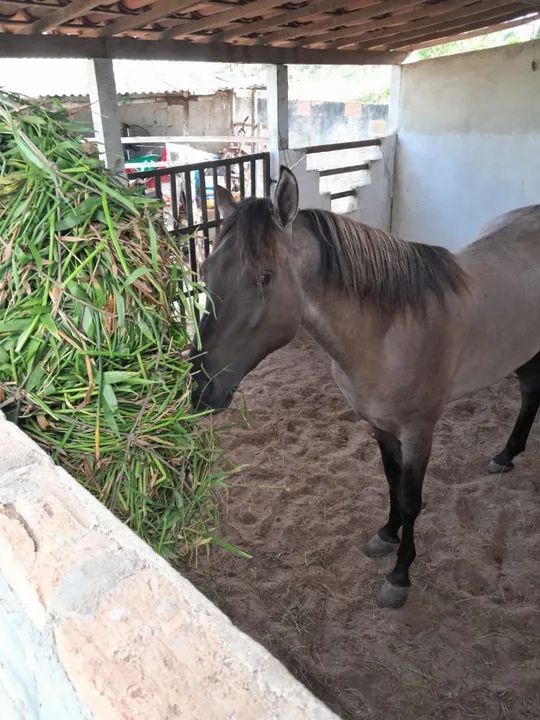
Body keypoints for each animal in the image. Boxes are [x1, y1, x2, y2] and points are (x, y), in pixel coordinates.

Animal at [189, 166, 540, 609]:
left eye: (264, 277)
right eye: (206, 272)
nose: (201, 389)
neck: (388, 333)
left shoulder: (419, 431)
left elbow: (410, 499)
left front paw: (400, 575)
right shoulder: (379, 425)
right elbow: (391, 481)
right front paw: (386, 535)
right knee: (530, 393)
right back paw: (506, 455)